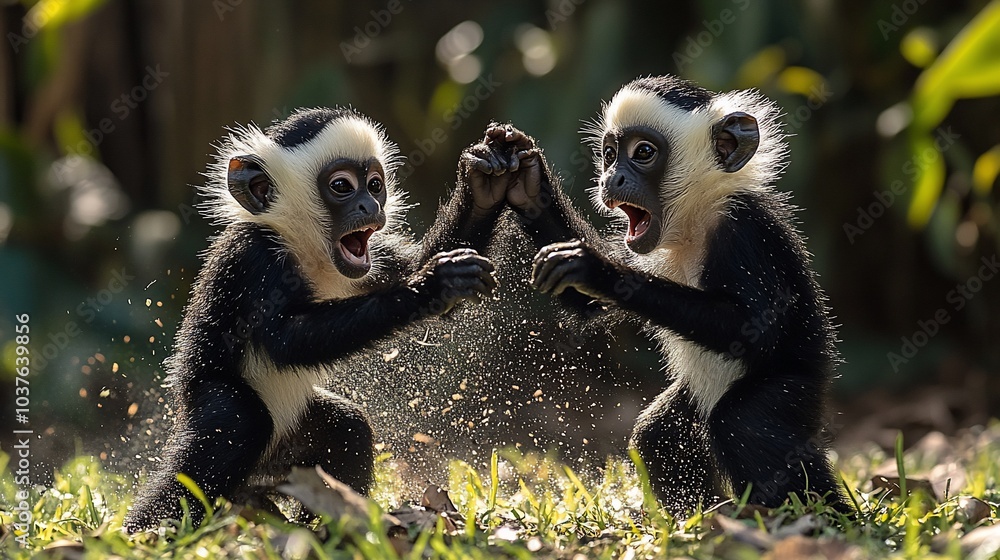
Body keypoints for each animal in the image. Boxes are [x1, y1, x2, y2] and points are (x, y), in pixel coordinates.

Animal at [124, 107, 509, 532]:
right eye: (342, 186)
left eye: (375, 185)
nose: (371, 207)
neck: (304, 250)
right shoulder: (257, 258)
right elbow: (285, 343)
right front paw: (430, 284)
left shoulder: (373, 259)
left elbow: (423, 264)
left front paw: (484, 183)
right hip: (213, 399)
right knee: (238, 422)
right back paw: (143, 534)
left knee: (348, 427)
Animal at [480, 75, 846, 515]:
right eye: (609, 155)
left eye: (643, 153)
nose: (611, 179)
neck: (694, 218)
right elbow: (589, 304)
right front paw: (528, 182)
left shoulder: (741, 229)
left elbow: (754, 329)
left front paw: (596, 269)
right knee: (660, 434)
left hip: (794, 387)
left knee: (744, 425)